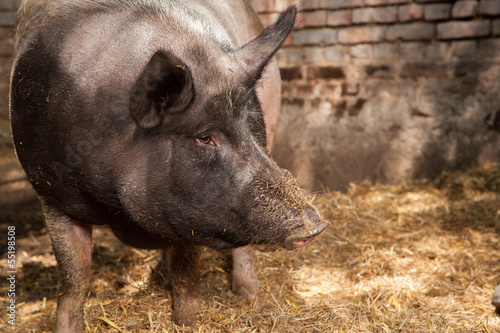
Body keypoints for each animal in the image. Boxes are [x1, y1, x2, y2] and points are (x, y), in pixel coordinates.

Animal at [9, 0, 330, 330]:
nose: (316, 226)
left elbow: (186, 279)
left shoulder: (193, 212)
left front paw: (187, 322)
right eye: (204, 137)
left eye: (250, 124)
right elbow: (73, 281)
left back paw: (248, 296)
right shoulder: (51, 194)